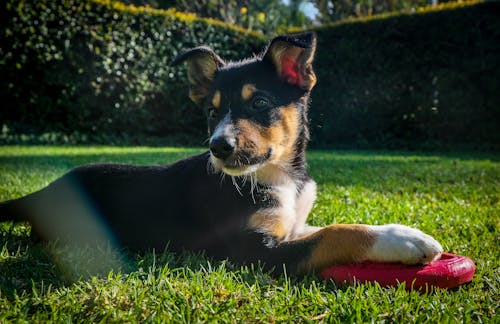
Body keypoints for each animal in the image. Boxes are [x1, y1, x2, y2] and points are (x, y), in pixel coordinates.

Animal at [0, 33, 442, 274]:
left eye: (260, 103)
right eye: (211, 111)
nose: (218, 146)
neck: (282, 177)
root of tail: (46, 191)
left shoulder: (292, 226)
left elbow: (332, 226)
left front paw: (394, 232)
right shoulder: (253, 251)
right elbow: (333, 235)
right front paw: (405, 241)